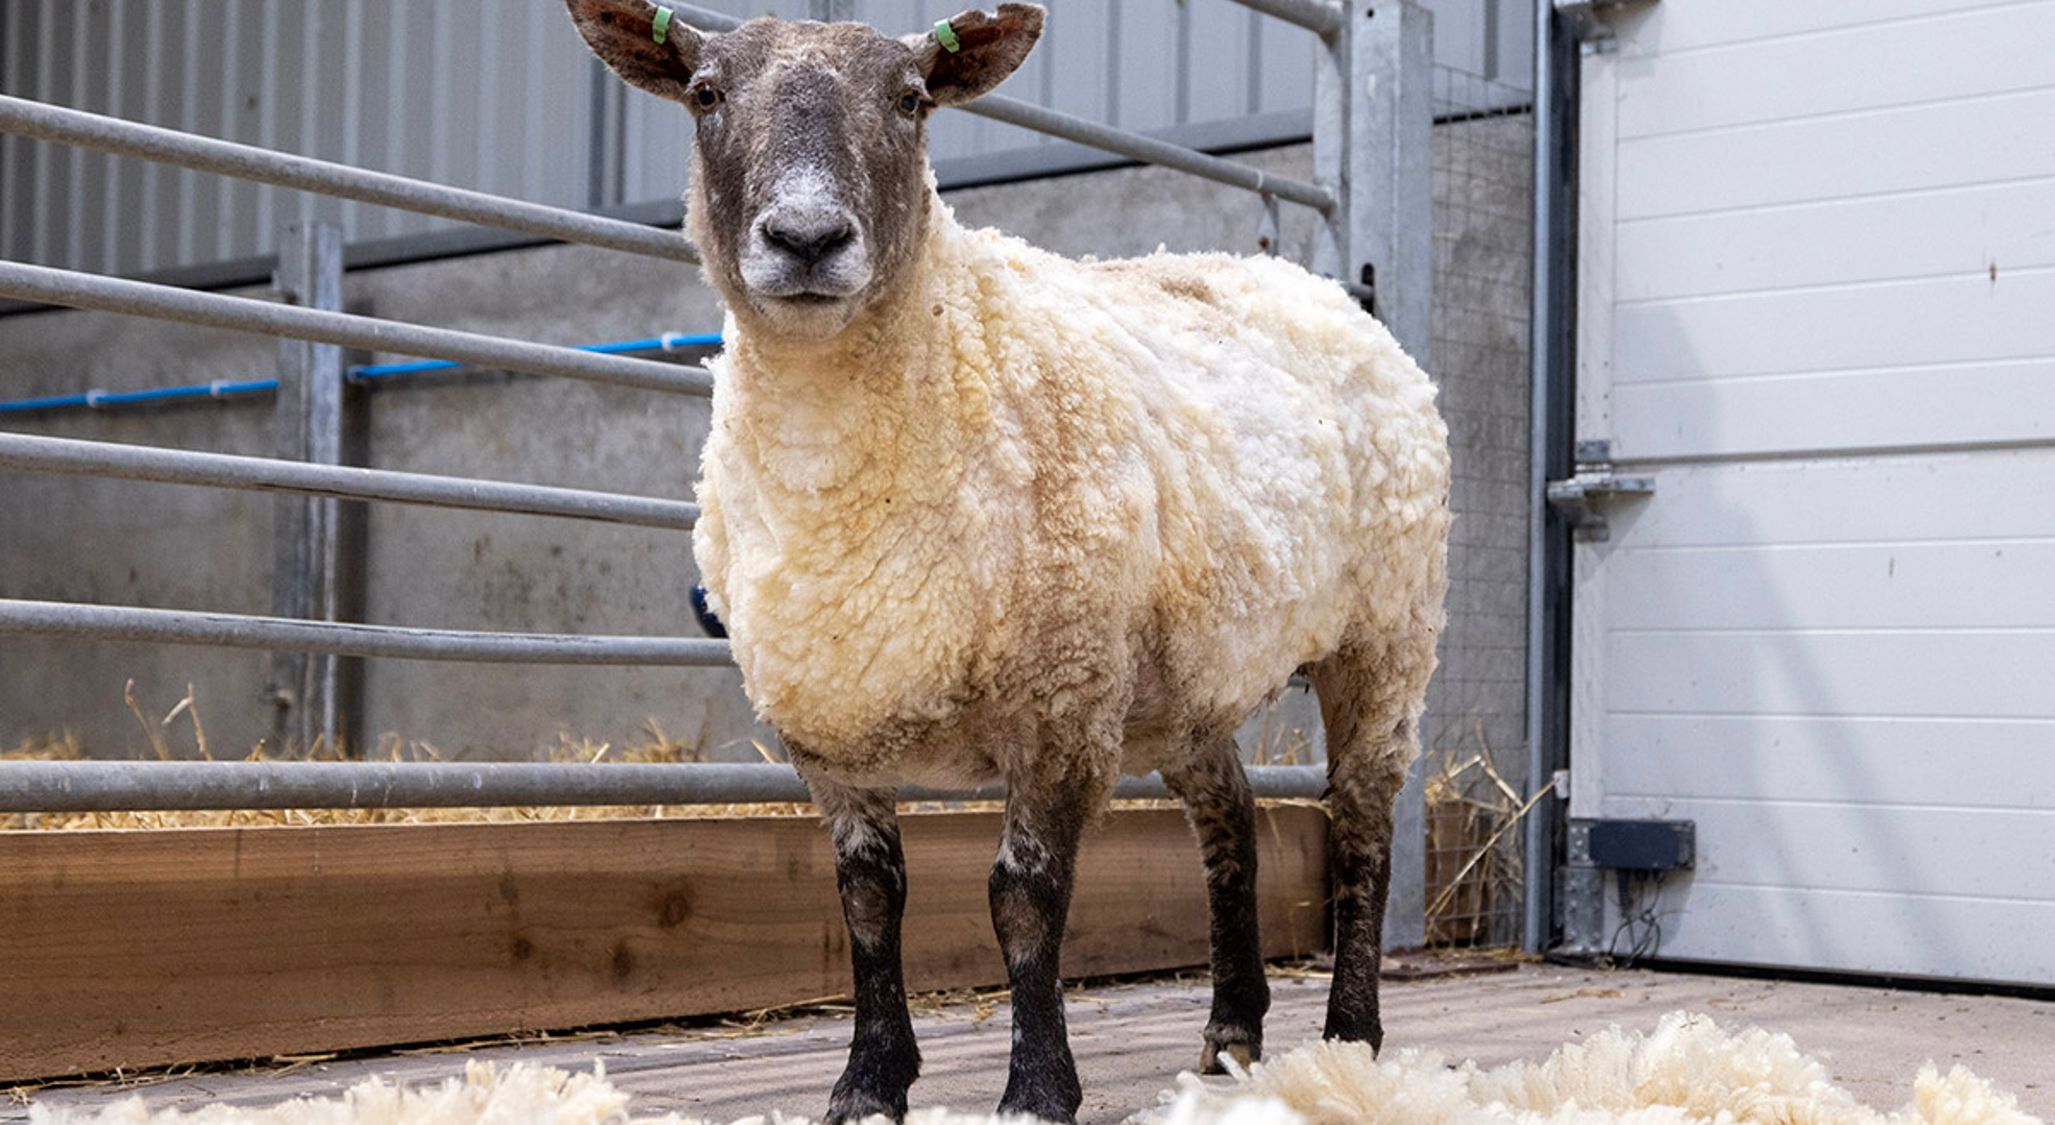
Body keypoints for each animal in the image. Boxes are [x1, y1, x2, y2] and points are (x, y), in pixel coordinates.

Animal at [563, 4, 1451, 1122]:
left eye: (910, 100)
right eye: (706, 94)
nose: (806, 239)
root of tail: (1317, 289)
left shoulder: (1059, 700)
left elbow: (1023, 899)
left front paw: (1034, 1088)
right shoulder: (827, 721)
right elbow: (867, 899)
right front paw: (867, 1082)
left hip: (1386, 631)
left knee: (1363, 829)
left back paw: (1350, 1038)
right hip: (1183, 675)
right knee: (1232, 823)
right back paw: (1229, 1036)